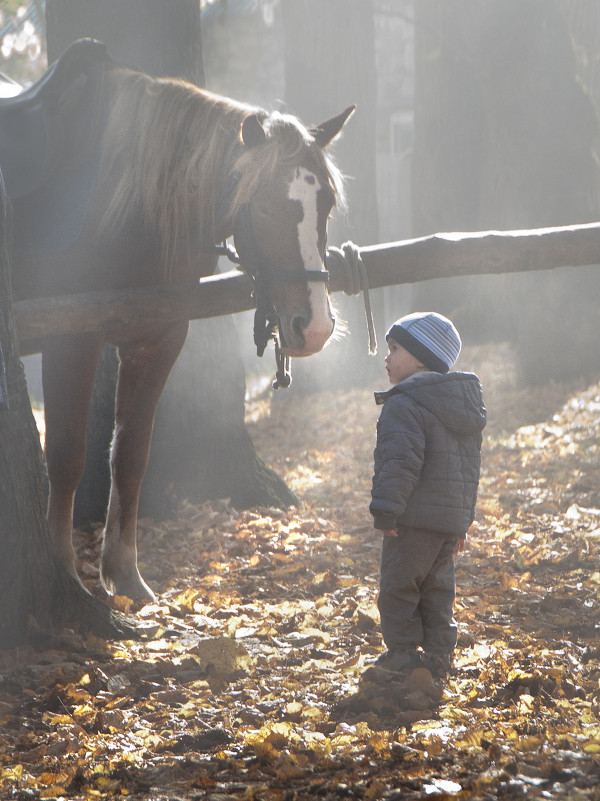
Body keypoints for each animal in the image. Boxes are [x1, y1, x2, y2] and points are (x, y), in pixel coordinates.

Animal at [2, 39, 354, 600]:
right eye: (261, 206)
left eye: (327, 202)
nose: (314, 326)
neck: (126, 202)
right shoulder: (69, 341)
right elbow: (66, 458)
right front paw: (67, 576)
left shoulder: (159, 340)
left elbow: (131, 455)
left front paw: (125, 574)